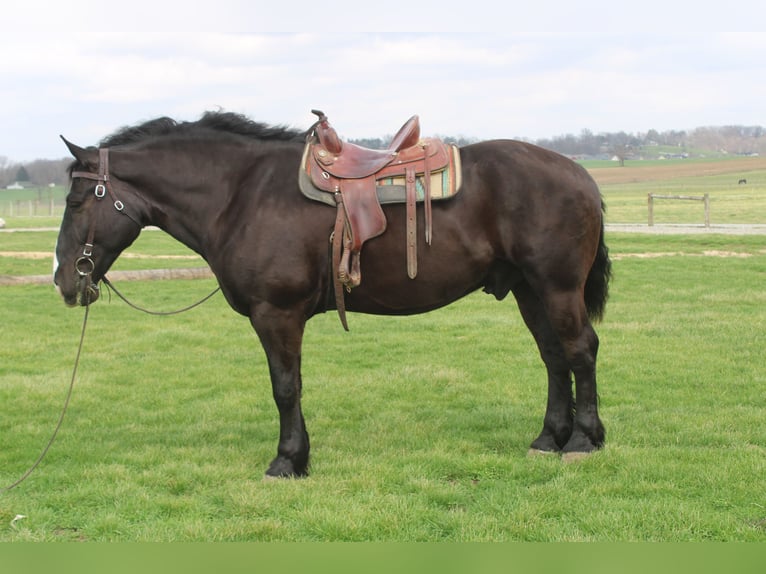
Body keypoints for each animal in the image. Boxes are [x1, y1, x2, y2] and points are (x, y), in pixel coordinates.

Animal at [53, 111, 611, 478]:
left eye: (77, 200)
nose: (63, 278)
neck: (240, 194)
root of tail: (580, 174)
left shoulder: (275, 314)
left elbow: (284, 387)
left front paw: (287, 460)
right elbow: (293, 385)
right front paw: (298, 455)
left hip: (556, 287)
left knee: (580, 351)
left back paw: (583, 439)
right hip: (528, 290)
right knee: (554, 356)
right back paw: (549, 438)